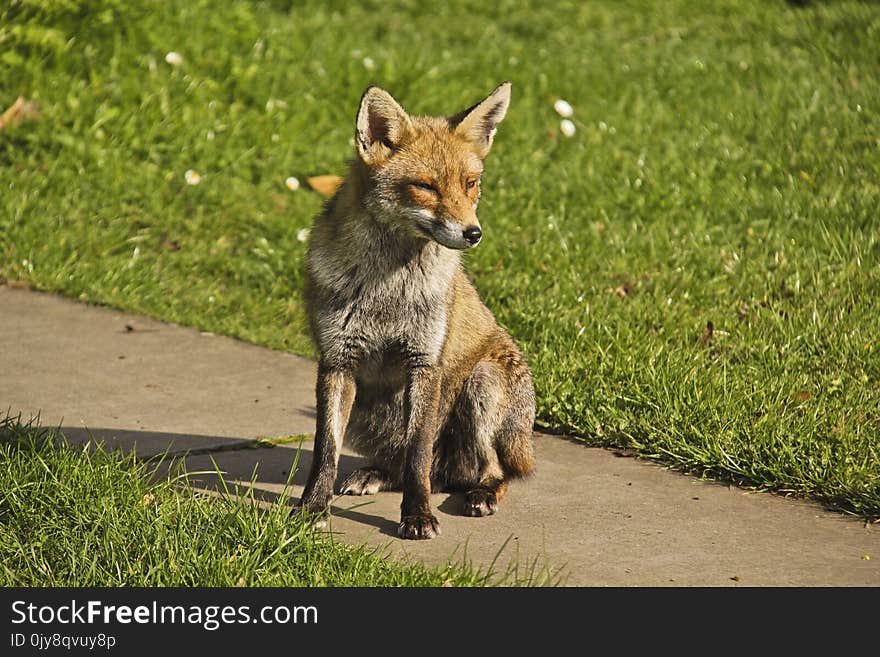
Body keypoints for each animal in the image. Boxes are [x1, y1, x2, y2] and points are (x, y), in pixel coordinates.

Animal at [300, 80, 536, 540]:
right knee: (426, 469)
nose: (474, 233)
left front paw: (418, 516)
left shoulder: (425, 362)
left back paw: (482, 493)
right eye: (426, 187)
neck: (387, 289)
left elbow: (417, 455)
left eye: (471, 183)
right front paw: (312, 507)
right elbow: (325, 451)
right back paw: (375, 474)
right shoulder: (337, 361)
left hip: (482, 385)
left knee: (489, 469)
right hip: (366, 412)